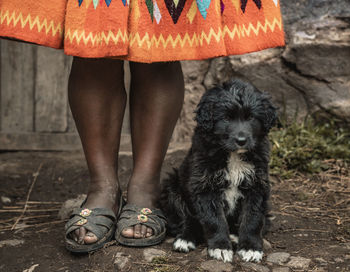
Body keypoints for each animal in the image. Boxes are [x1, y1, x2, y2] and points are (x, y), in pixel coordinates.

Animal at [160, 79, 278, 264]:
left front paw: (250, 248)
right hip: (173, 188)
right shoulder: (204, 186)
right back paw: (185, 239)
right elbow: (214, 219)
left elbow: (253, 219)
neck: (233, 155)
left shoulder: (257, 185)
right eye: (226, 118)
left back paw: (235, 236)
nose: (241, 140)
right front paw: (221, 247)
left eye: (251, 117)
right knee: (187, 218)